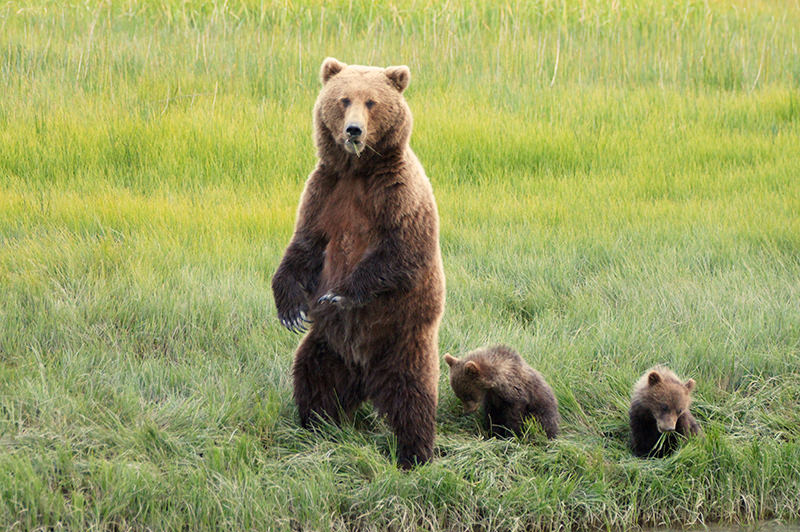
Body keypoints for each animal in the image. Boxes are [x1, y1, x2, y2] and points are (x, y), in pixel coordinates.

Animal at [268, 56, 444, 468]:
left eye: (372, 102)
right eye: (344, 99)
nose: (353, 130)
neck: (357, 170)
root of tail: (364, 375)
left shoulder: (397, 194)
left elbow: (402, 251)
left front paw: (338, 295)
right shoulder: (324, 192)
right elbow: (303, 246)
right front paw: (290, 310)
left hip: (402, 341)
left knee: (412, 398)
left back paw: (414, 454)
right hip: (327, 346)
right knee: (313, 379)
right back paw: (314, 427)